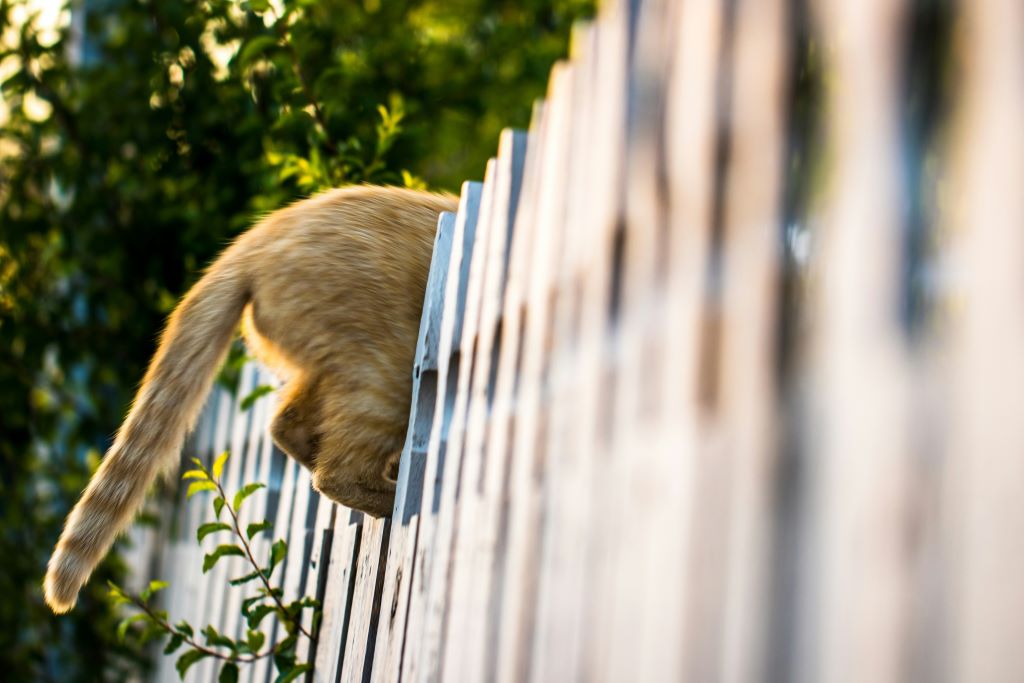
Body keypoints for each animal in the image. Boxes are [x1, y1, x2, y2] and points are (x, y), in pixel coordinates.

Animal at [40, 183, 456, 614]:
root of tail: (254, 242)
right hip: (386, 376)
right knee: (337, 472)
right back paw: (400, 497)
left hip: (332, 371)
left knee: (287, 428)